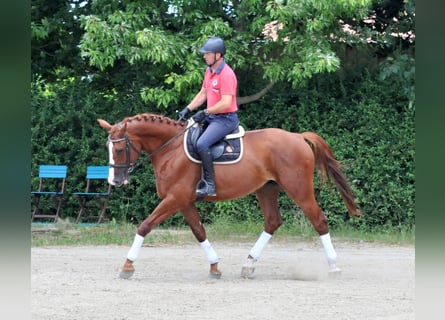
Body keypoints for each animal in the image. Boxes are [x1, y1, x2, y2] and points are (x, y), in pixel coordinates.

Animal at [96, 114, 358, 278]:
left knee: (319, 220)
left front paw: (127, 266)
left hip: (299, 189)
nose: (114, 181)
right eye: (108, 148)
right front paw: (214, 267)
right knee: (273, 222)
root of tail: (297, 136)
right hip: (267, 189)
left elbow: (144, 226)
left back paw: (333, 267)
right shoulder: (183, 201)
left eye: (118, 148)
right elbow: (199, 231)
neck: (170, 149)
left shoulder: (174, 199)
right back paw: (249, 264)